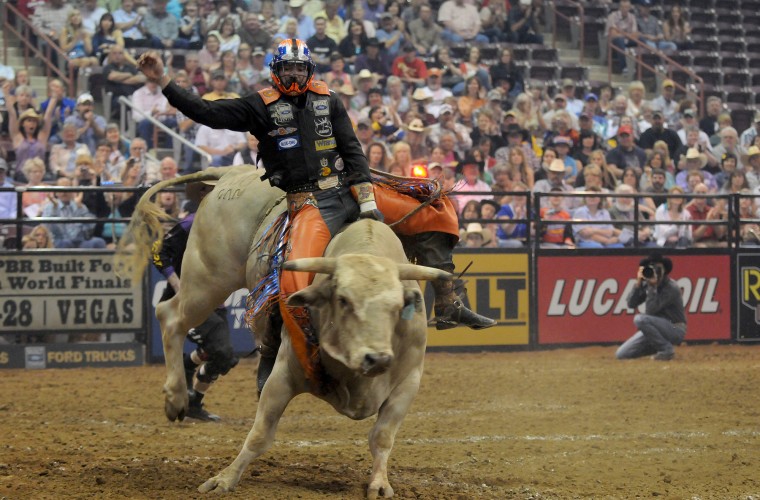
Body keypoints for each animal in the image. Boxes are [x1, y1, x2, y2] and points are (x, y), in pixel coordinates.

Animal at [116, 166, 448, 498]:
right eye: (343, 300)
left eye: (398, 305)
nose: (376, 359)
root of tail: (233, 172)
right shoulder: (285, 372)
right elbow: (260, 434)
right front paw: (224, 479)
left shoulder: (409, 381)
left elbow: (382, 436)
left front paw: (379, 484)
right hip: (206, 280)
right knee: (170, 315)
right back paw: (175, 399)